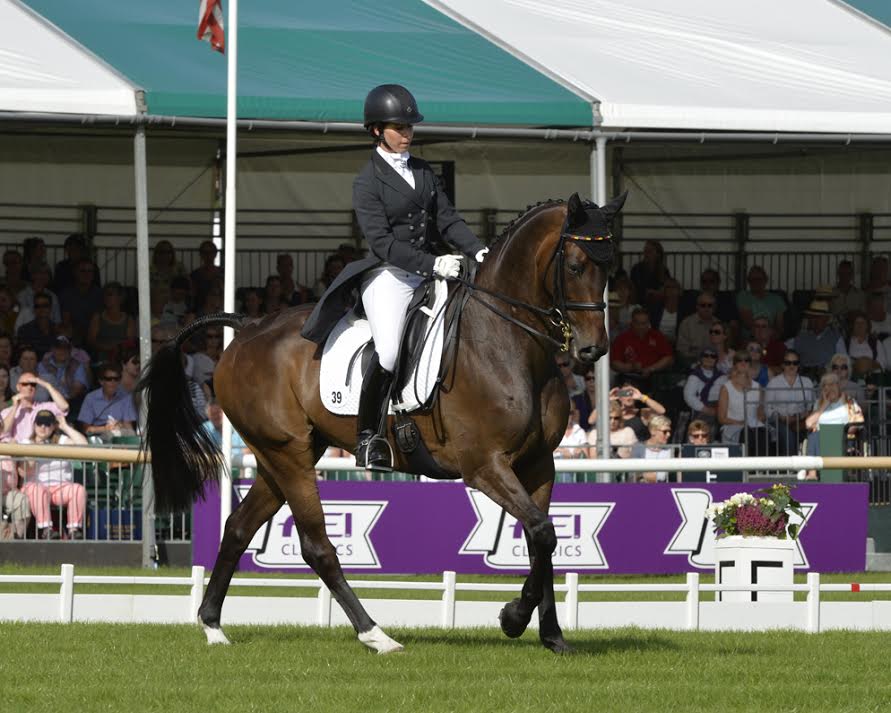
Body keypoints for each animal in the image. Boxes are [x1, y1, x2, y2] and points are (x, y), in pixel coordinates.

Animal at [141, 189, 628, 652]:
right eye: (575, 264)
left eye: (611, 268)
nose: (593, 349)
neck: (508, 343)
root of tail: (247, 327)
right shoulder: (485, 465)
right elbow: (541, 533)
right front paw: (513, 618)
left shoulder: (538, 463)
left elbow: (540, 539)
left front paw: (551, 635)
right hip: (288, 454)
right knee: (316, 546)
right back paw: (376, 635)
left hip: (280, 455)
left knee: (239, 527)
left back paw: (213, 626)